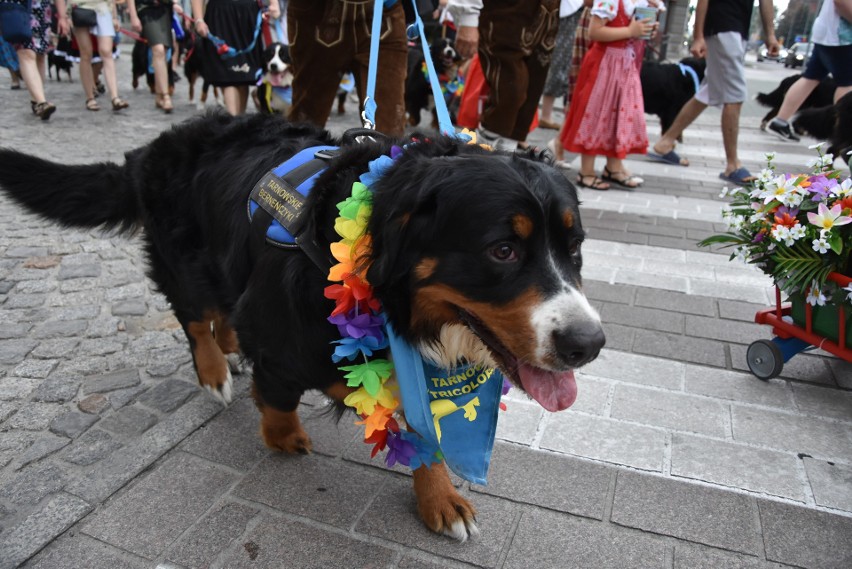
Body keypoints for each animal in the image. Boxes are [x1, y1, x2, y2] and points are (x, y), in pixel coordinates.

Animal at [0, 112, 604, 540]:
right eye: (502, 250)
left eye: (574, 247)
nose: (590, 344)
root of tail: (157, 145)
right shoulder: (282, 329)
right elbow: (284, 392)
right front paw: (283, 433)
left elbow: (420, 426)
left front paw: (440, 498)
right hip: (184, 261)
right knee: (195, 317)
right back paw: (216, 370)